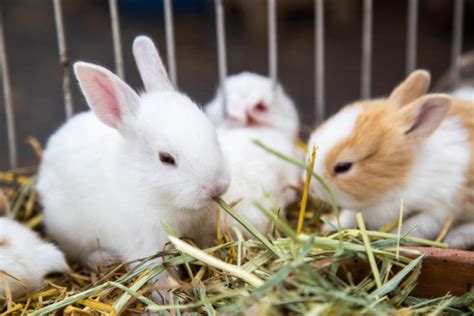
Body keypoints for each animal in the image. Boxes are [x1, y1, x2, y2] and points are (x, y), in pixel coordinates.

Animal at [37, 35, 230, 270]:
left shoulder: (202, 230)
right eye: (166, 158)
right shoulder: (146, 246)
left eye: (214, 135)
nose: (217, 187)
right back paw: (103, 259)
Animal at [308, 70, 474, 248]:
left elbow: (415, 226)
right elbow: (349, 217)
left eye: (343, 167)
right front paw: (328, 225)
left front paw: (394, 237)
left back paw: (457, 238)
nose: (312, 190)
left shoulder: (437, 210)